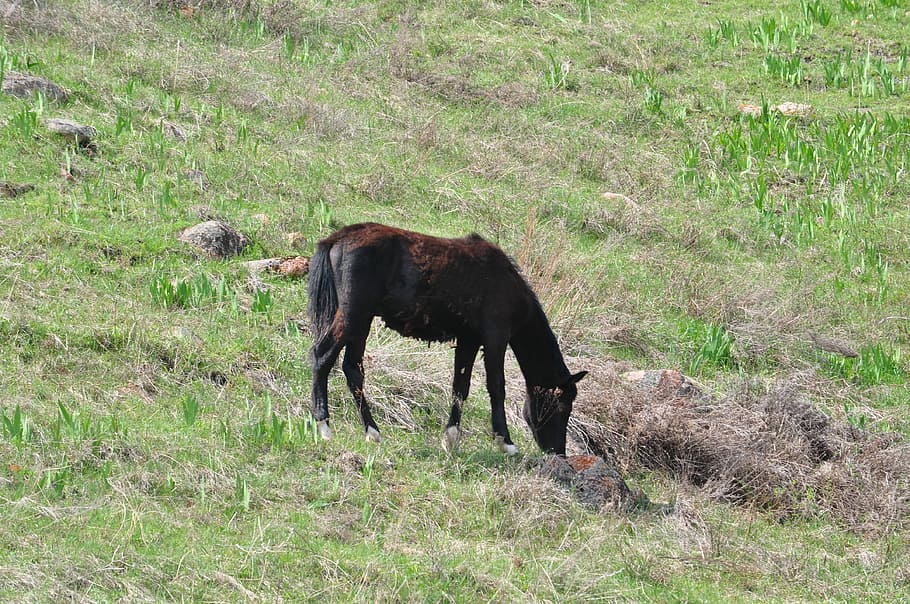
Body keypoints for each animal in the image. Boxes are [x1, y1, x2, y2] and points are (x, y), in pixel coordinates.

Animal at [307, 222, 587, 455]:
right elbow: (497, 386)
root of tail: (337, 238)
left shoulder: (469, 340)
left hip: (362, 321)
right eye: (562, 406)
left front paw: (451, 439)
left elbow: (460, 387)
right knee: (322, 356)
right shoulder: (495, 337)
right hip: (354, 316)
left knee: (352, 368)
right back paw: (324, 427)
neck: (508, 284)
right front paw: (505, 442)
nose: (558, 452)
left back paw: (372, 432)